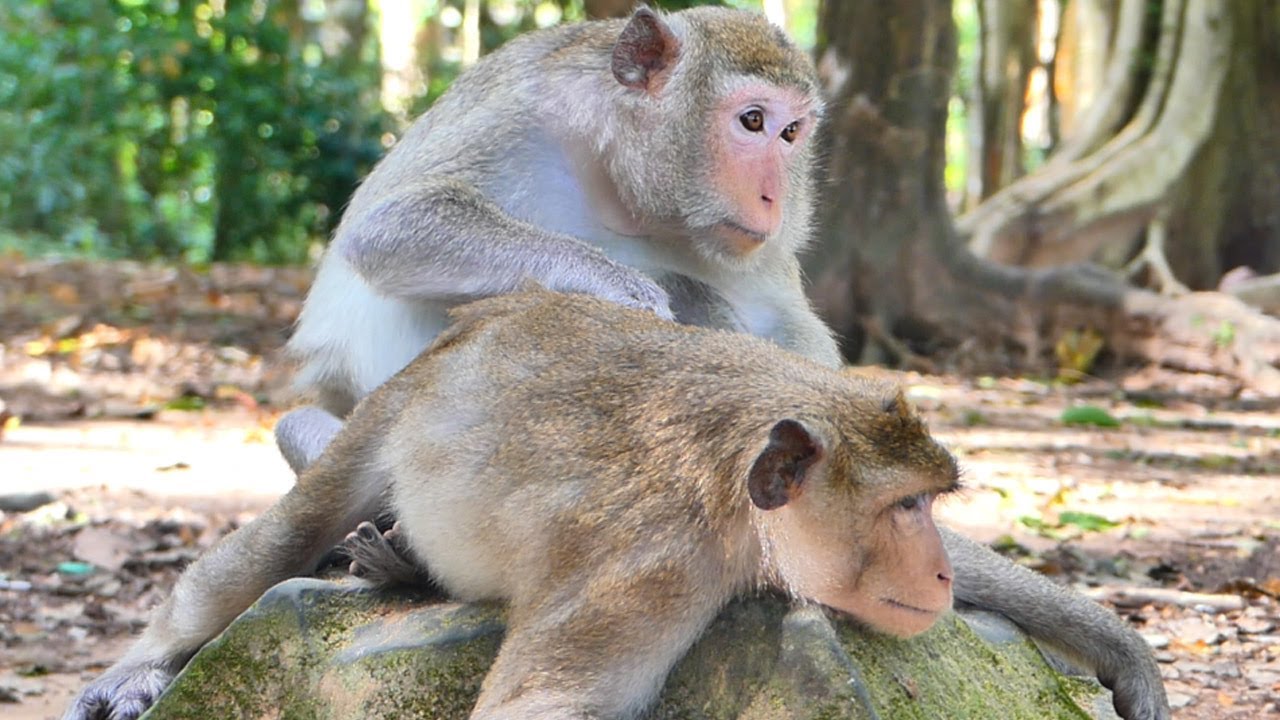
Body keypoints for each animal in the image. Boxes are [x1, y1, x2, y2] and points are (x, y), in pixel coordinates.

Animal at [65, 292, 1169, 720]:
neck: (735, 506)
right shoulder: (653, 571)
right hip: (399, 400)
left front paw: (1123, 658)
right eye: (903, 509)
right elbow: (537, 706)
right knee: (292, 529)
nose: (935, 567)